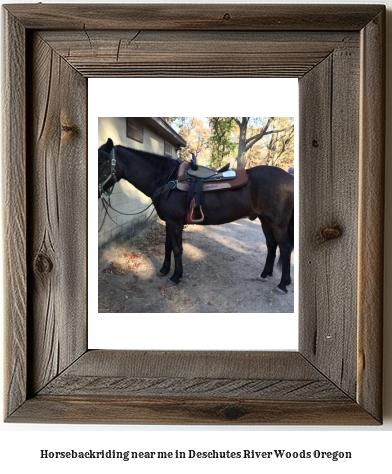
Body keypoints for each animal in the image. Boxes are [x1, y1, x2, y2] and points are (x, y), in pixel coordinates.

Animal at [99, 138, 294, 292]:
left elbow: (177, 248)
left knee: (284, 248)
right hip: (265, 221)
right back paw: (265, 274)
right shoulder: (169, 222)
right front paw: (164, 270)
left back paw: (283, 284)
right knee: (271, 245)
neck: (166, 179)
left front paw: (176, 276)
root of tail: (289, 178)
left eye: (102, 162)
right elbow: (168, 246)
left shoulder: (175, 222)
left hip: (277, 223)